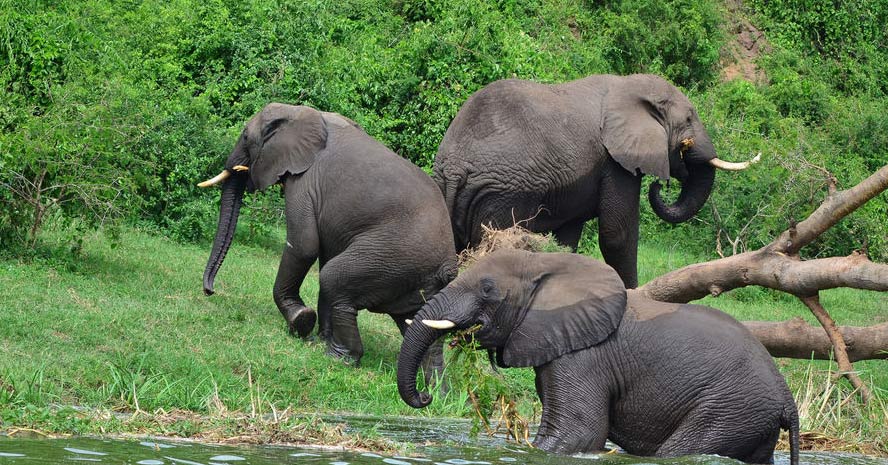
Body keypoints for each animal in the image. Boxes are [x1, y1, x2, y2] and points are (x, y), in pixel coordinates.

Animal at [199, 102, 458, 366]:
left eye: (244, 136)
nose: (210, 291)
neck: (298, 111)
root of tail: (448, 266)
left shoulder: (305, 183)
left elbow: (303, 246)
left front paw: (302, 322)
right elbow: (324, 252)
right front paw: (321, 336)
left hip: (393, 257)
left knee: (333, 277)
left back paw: (338, 358)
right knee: (421, 329)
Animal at [398, 248, 800, 462]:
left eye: (487, 288)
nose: (425, 396)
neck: (544, 263)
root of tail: (786, 398)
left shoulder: (584, 358)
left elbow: (578, 434)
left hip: (729, 408)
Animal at [430, 72, 756, 286]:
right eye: (689, 120)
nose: (658, 185)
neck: (628, 84)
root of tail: (454, 167)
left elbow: (566, 240)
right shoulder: (614, 162)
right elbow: (617, 234)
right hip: (501, 195)